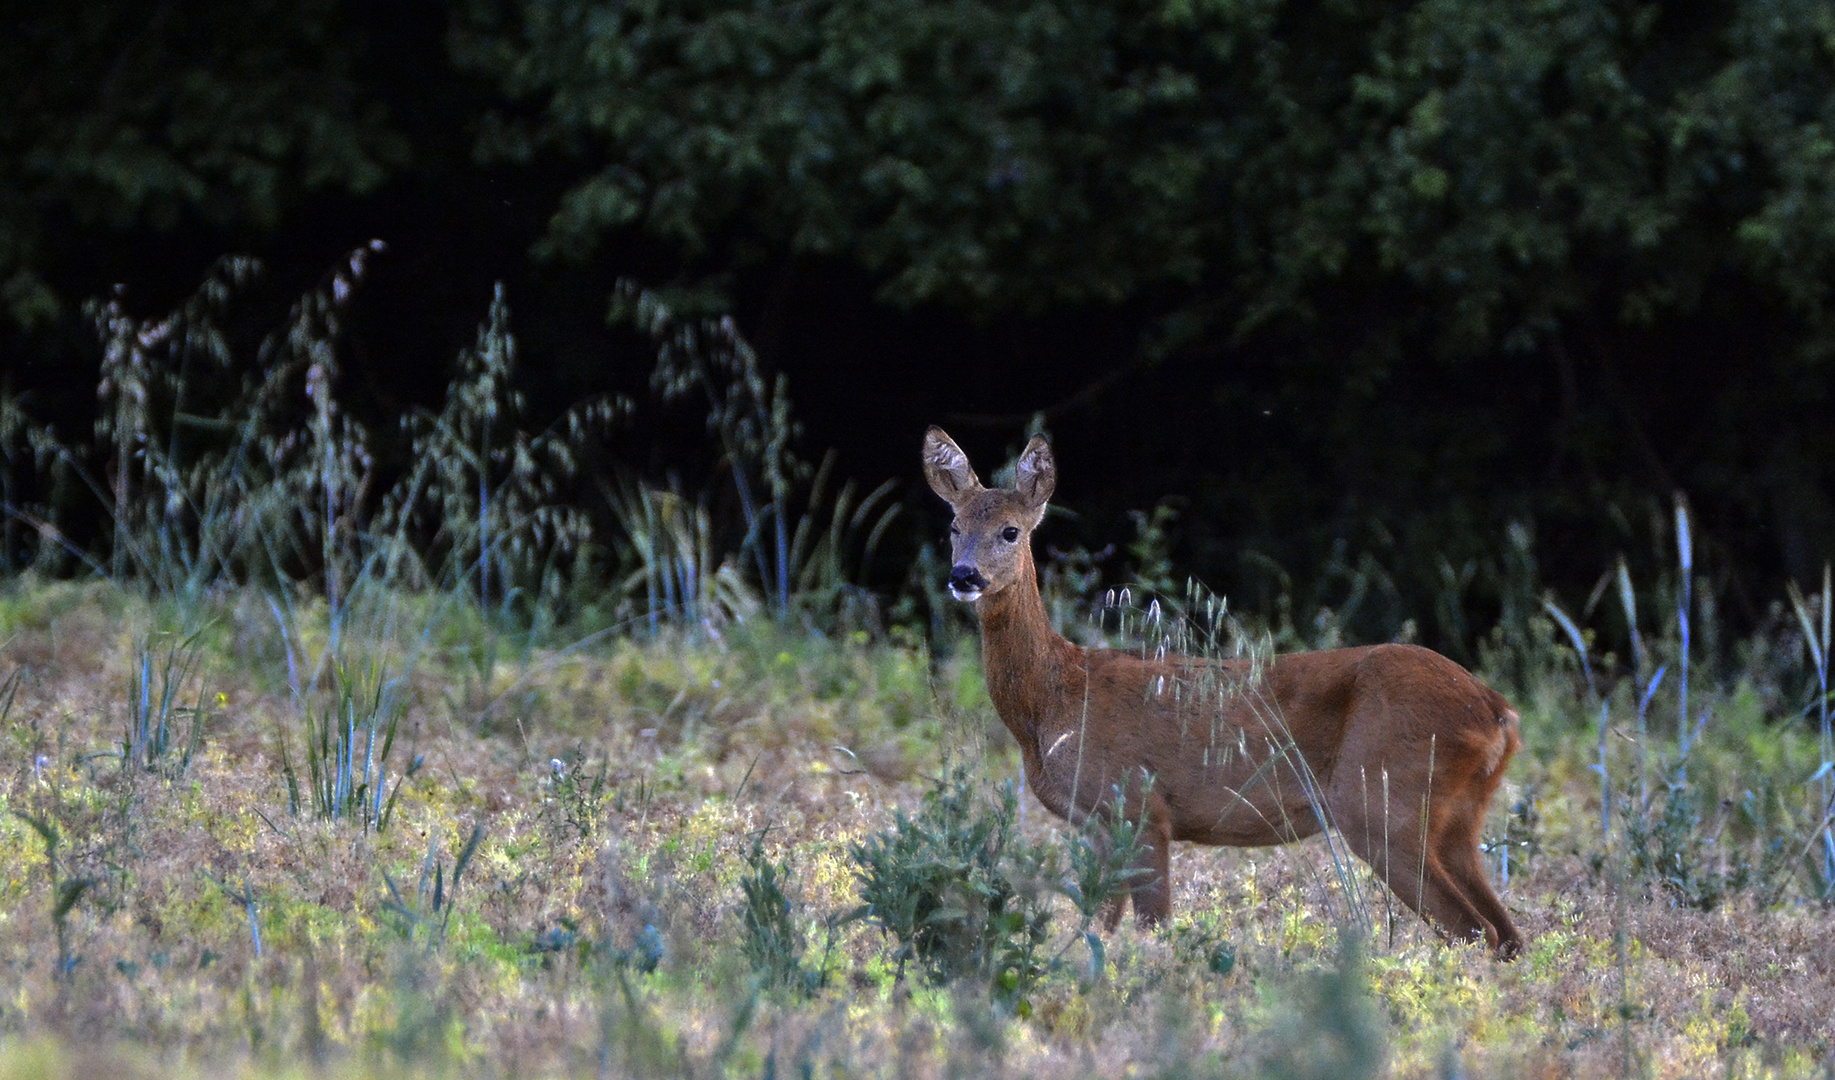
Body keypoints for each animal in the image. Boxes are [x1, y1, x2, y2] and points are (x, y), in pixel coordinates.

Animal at [924, 425, 1526, 953]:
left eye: (1011, 531)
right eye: (953, 527)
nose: (964, 576)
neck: (1056, 699)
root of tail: (1498, 712)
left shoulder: (1139, 805)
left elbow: (1151, 928)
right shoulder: (1098, 824)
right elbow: (1100, 928)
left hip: (1381, 801)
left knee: (1475, 930)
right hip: (1456, 817)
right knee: (1507, 934)